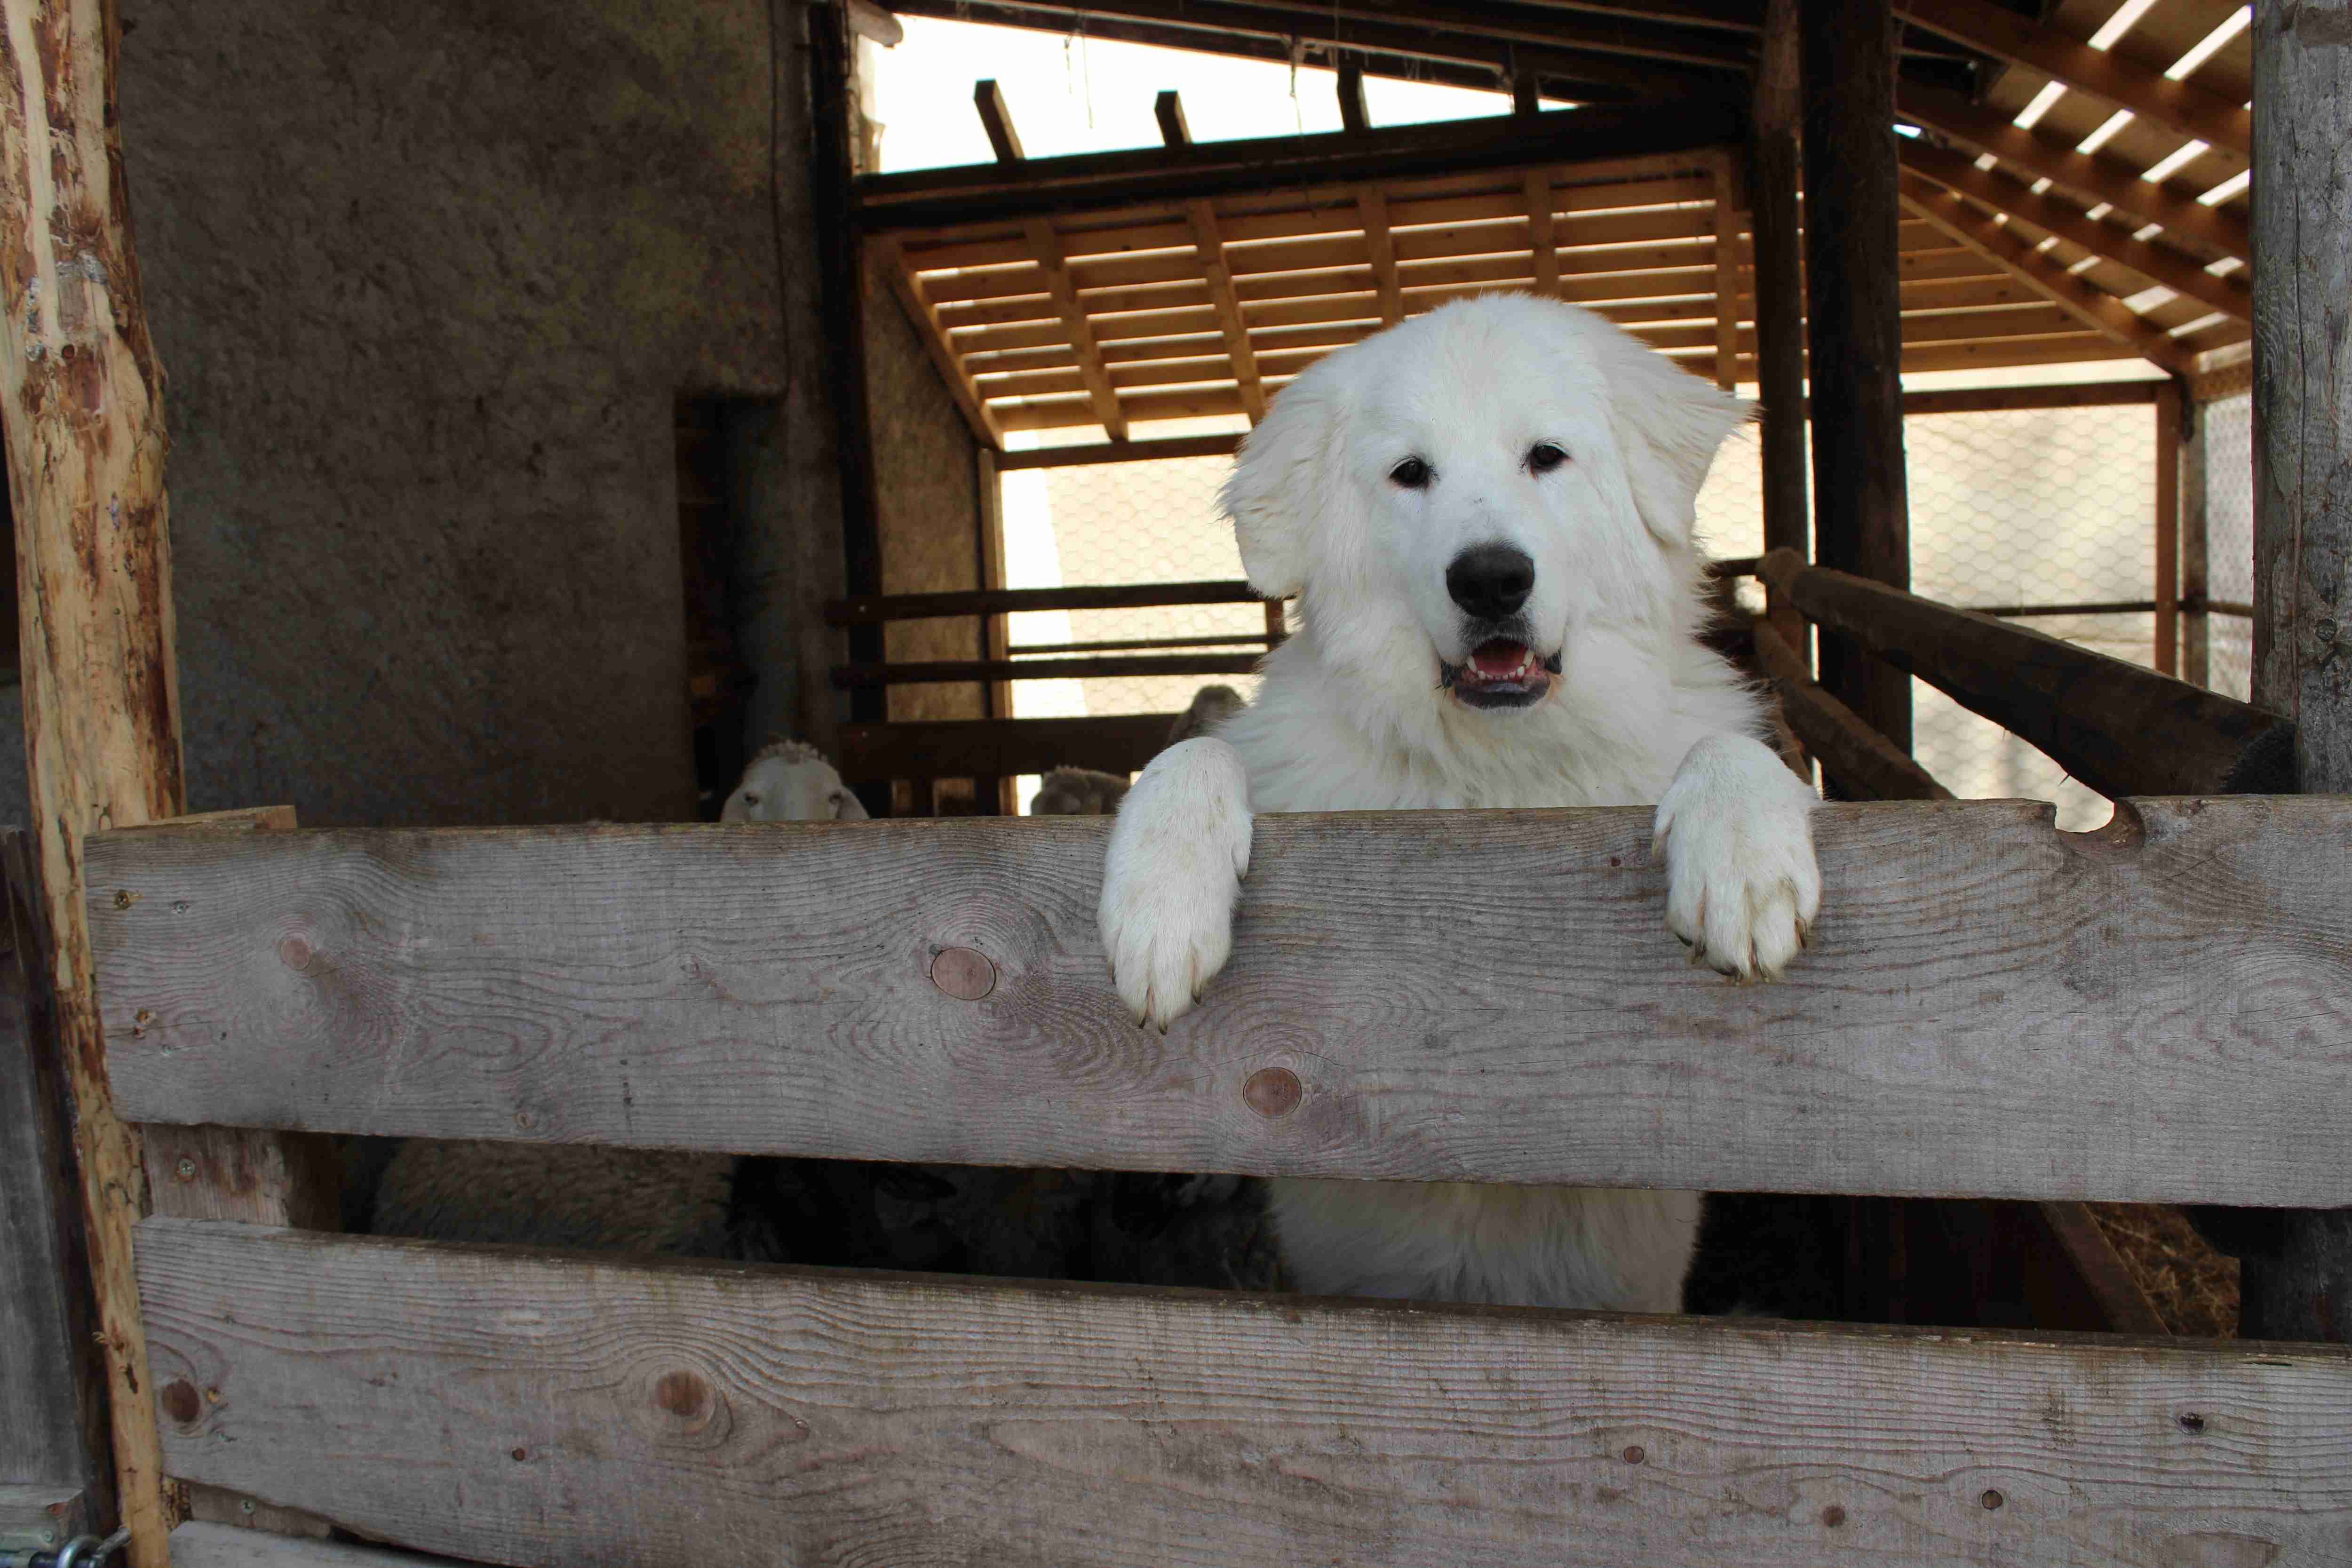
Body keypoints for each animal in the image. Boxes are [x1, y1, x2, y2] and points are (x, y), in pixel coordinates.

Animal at [1091, 297, 1825, 1316]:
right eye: (1411, 473)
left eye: (1546, 456)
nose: (1490, 579)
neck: (1497, 770)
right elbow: (1196, 749)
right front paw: (1160, 911)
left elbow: (1728, 750)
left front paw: (1745, 871)